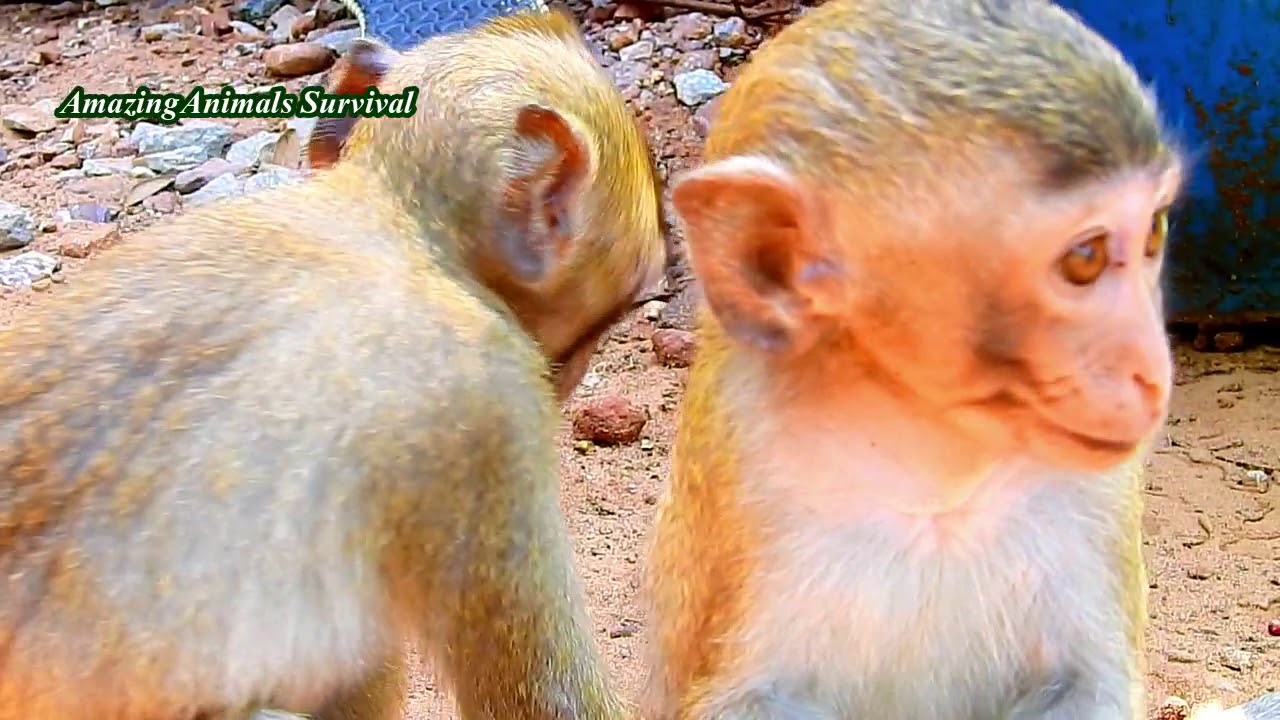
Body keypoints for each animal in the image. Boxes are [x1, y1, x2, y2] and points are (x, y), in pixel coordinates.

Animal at [635, 0, 1261, 718]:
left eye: (1154, 230)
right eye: (1086, 258)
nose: (1152, 374)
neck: (934, 469)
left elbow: (1088, 682)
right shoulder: (742, 472)